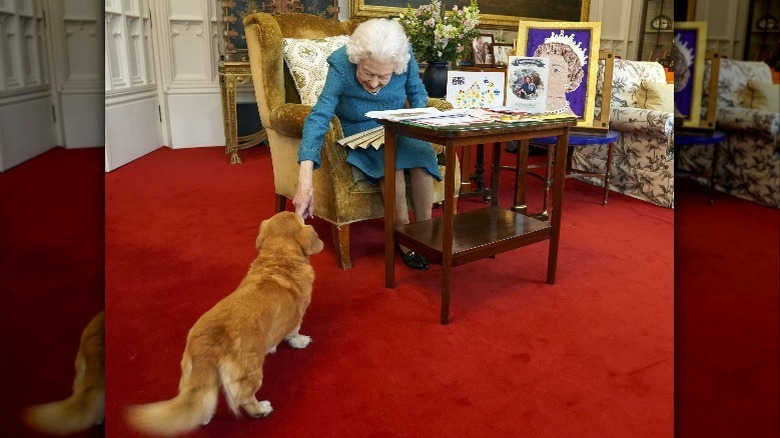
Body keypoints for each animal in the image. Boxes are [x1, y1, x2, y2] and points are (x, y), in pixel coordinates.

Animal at [124, 212, 322, 434]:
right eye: (300, 219)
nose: (302, 211)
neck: (278, 259)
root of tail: (208, 344)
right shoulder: (297, 315)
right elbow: (294, 332)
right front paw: (300, 341)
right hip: (250, 373)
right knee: (246, 399)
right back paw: (262, 409)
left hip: (195, 375)